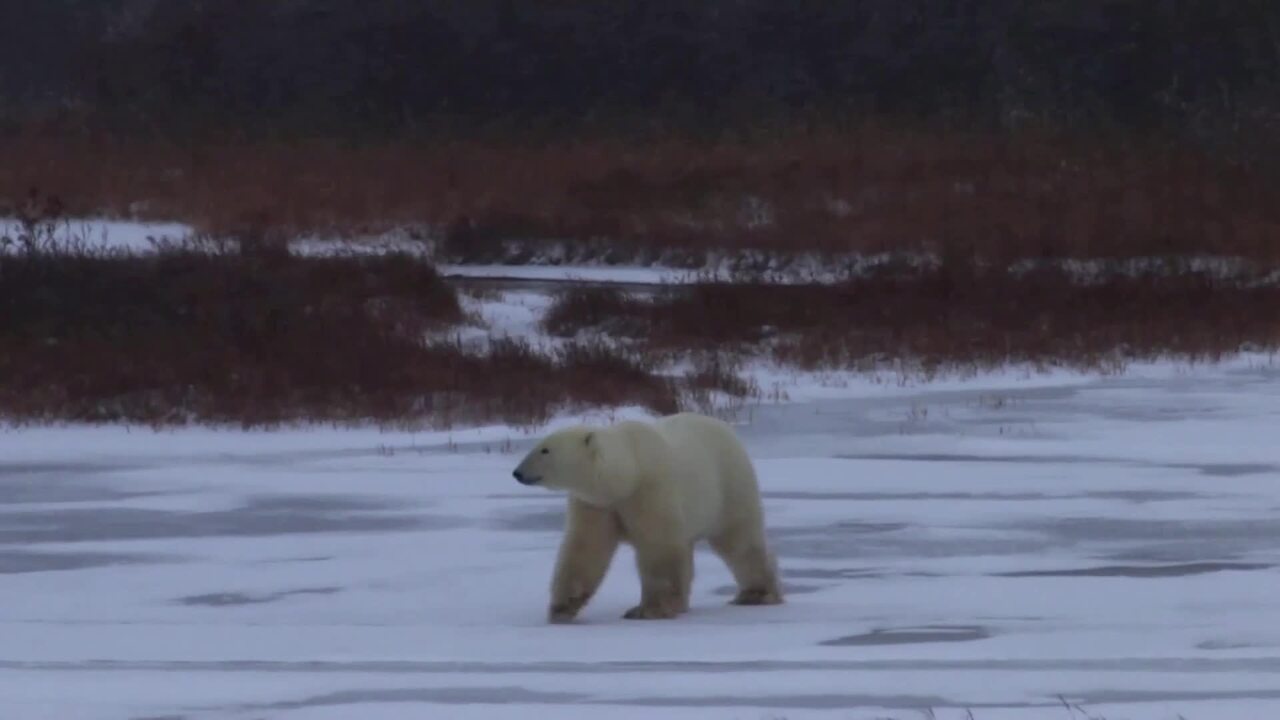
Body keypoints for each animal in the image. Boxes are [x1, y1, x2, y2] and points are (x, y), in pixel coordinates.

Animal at [509, 412, 778, 620]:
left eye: (545, 449)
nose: (517, 473)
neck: (628, 474)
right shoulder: (596, 504)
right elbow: (585, 548)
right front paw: (562, 608)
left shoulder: (650, 490)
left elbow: (659, 547)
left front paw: (648, 610)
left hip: (728, 486)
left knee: (739, 540)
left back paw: (756, 594)